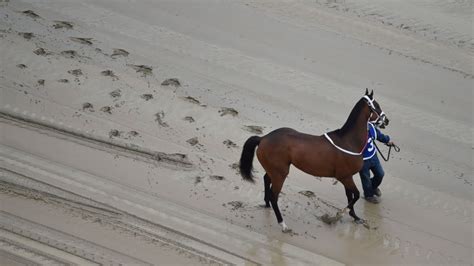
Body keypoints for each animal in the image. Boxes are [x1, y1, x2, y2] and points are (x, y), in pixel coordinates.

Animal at [239, 89, 386, 231]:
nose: (387, 120)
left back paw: (267, 205)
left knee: (266, 181)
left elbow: (350, 197)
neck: (348, 141)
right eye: (376, 105)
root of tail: (263, 138)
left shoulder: (347, 177)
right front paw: (336, 216)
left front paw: (355, 217)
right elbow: (355, 195)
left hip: (274, 171)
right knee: (274, 196)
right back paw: (283, 224)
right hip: (280, 174)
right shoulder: (345, 177)